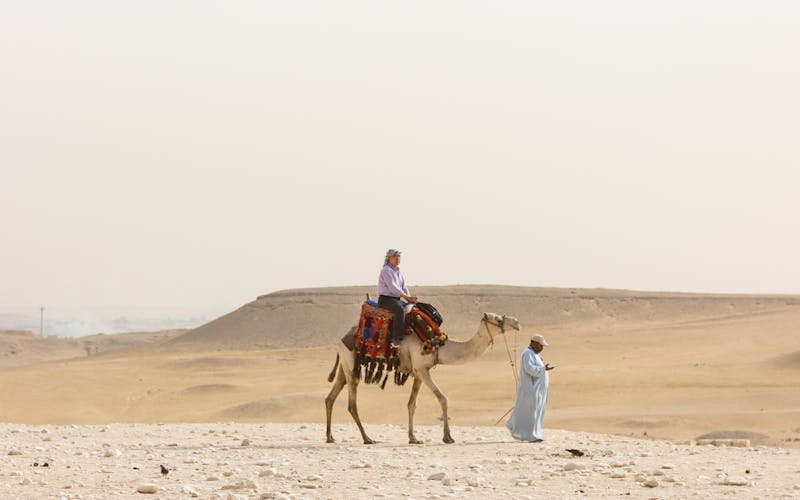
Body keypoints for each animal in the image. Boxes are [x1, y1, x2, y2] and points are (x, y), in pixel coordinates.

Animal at [325, 311, 520, 444]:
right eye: (499, 319)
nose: (517, 322)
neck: (439, 345)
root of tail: (340, 340)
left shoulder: (418, 372)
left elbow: (412, 404)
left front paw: (413, 438)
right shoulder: (422, 369)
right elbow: (443, 398)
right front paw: (447, 437)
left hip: (345, 366)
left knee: (331, 397)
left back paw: (330, 437)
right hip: (351, 366)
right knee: (351, 404)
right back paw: (367, 439)